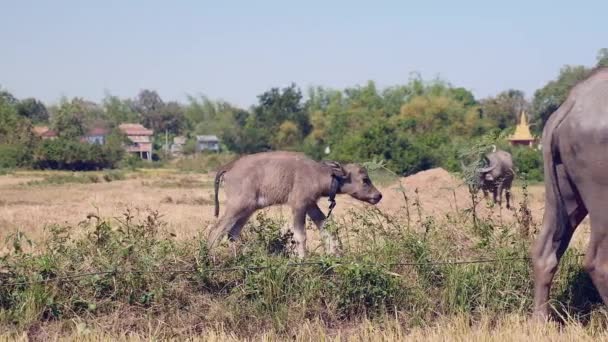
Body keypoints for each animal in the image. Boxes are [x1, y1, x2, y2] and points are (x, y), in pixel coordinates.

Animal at [528, 67, 608, 320]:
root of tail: (571, 103)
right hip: (600, 177)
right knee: (598, 261)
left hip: (561, 178)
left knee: (544, 249)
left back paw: (540, 322)